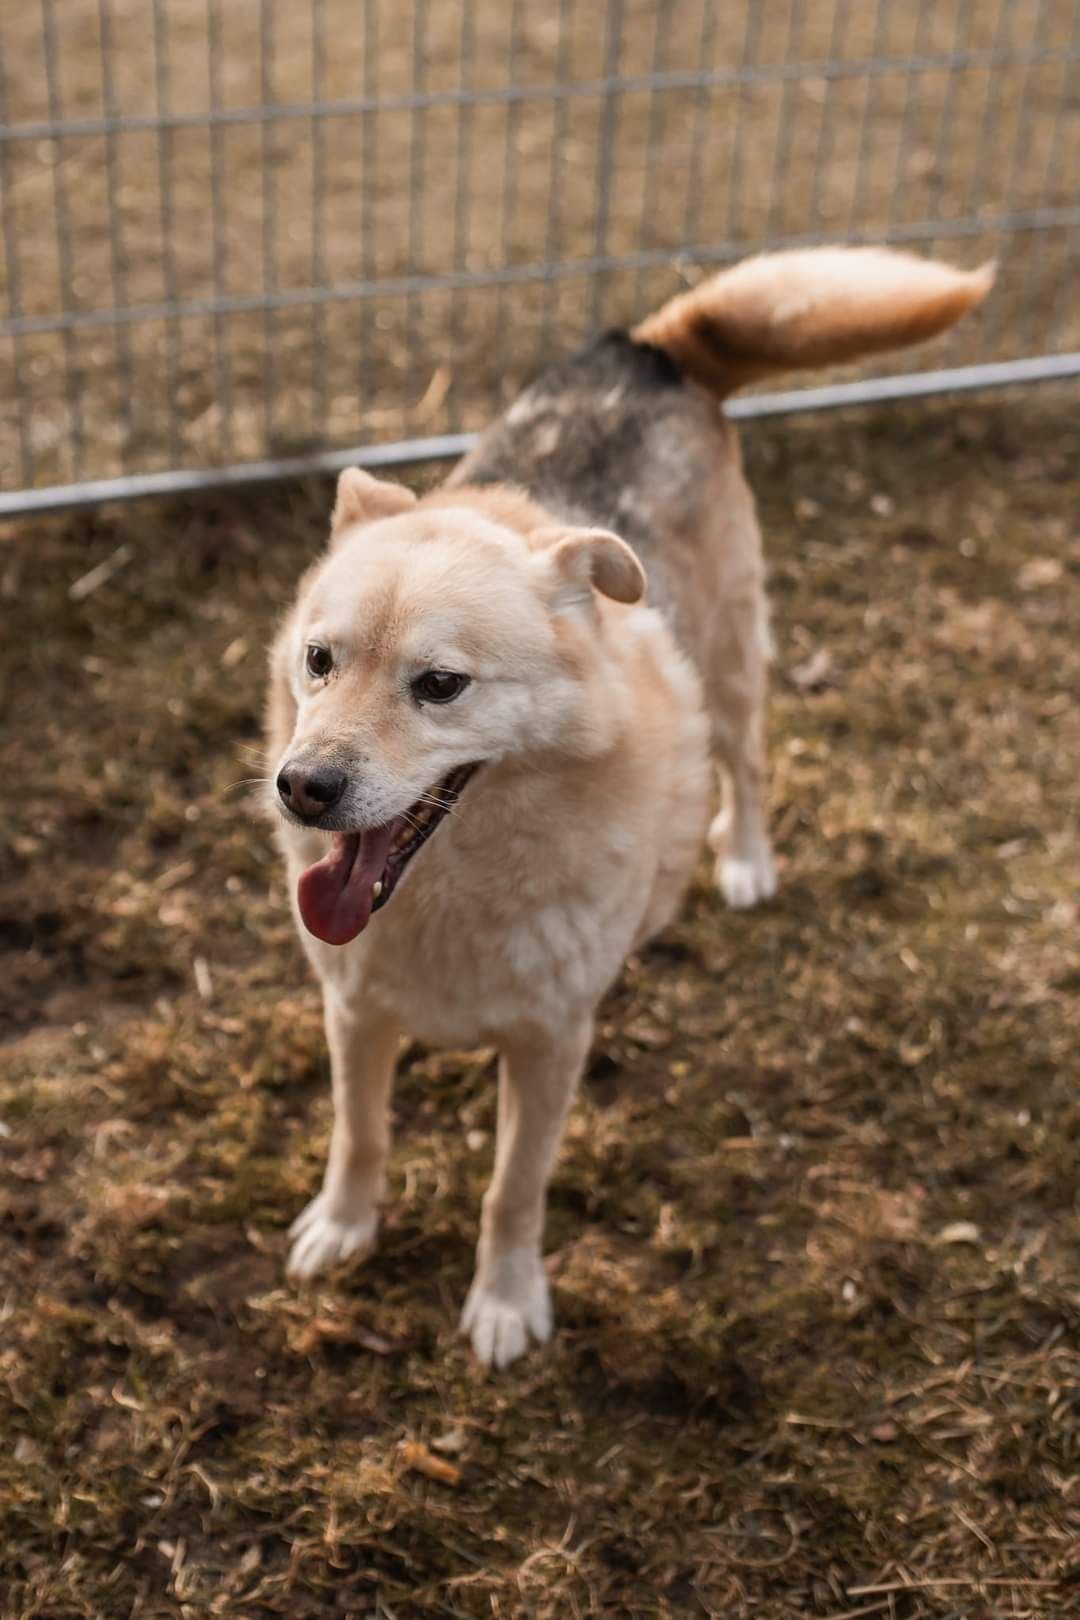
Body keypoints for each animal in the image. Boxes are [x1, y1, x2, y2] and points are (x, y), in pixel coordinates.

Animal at [265, 246, 990, 1367]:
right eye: (318, 661)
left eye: (441, 685)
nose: (302, 789)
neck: (457, 897)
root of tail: (648, 351)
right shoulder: (355, 1013)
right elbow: (361, 1133)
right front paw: (343, 1228)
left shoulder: (552, 1042)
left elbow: (512, 1193)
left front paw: (506, 1303)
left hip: (733, 671)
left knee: (749, 762)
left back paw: (745, 860)